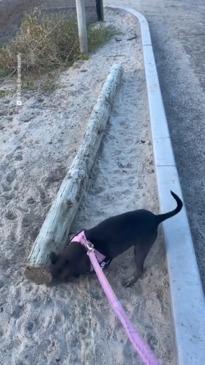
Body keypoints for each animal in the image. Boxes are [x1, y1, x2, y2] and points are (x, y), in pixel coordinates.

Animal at [49, 189, 183, 286]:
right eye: (51, 273)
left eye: (60, 279)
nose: (49, 284)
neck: (82, 248)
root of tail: (156, 218)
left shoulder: (103, 263)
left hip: (141, 249)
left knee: (140, 270)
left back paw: (130, 281)